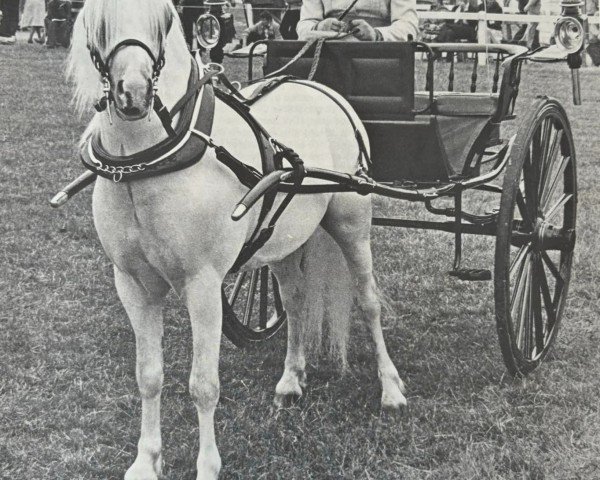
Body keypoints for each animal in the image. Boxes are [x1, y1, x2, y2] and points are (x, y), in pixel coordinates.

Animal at [69, 1, 408, 478]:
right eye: (98, 23)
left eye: (164, 20)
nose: (132, 93)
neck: (151, 161)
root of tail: (319, 87)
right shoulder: (133, 285)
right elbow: (148, 376)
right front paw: (146, 461)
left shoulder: (204, 284)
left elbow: (203, 385)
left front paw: (207, 466)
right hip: (282, 239)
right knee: (296, 298)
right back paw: (291, 378)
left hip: (351, 221)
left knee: (368, 300)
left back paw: (391, 389)